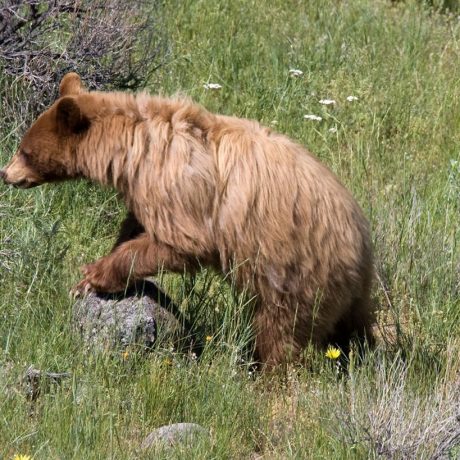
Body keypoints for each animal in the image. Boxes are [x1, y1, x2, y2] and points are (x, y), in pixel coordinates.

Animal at [0, 72, 374, 366]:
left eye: (24, 151)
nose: (6, 174)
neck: (132, 149)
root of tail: (362, 248)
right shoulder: (147, 189)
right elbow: (137, 223)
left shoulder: (179, 187)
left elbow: (182, 241)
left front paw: (93, 276)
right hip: (343, 292)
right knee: (353, 330)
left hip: (294, 271)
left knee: (280, 333)